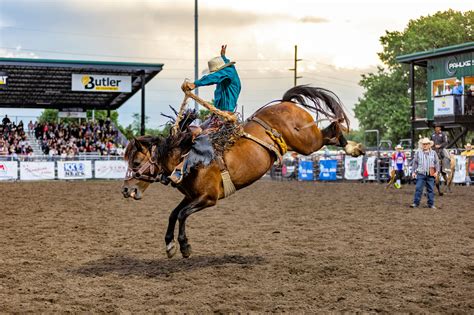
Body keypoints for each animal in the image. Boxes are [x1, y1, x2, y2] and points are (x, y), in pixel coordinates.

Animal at [120, 86, 364, 260]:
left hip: (306, 142)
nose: (125, 190)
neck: (186, 156)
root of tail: (285, 102)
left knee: (330, 132)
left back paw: (353, 147)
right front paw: (170, 245)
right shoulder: (192, 196)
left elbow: (181, 215)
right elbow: (173, 213)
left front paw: (185, 247)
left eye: (136, 161)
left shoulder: (208, 198)